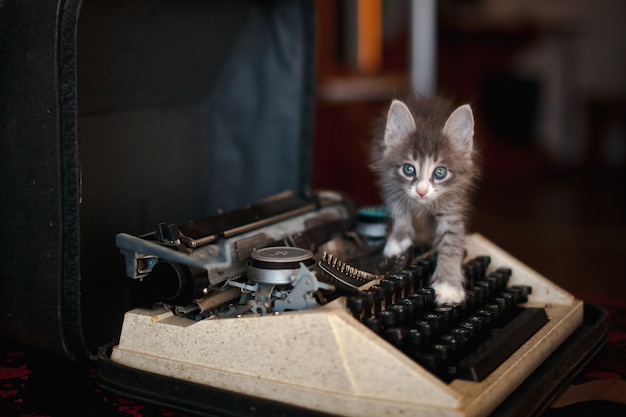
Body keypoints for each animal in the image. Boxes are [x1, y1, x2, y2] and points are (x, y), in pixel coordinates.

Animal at [368, 95, 476, 306]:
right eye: (409, 169)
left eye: (440, 172)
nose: (421, 191)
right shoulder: (390, 183)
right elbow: (400, 212)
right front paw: (398, 242)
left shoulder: (452, 205)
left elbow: (452, 241)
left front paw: (448, 287)